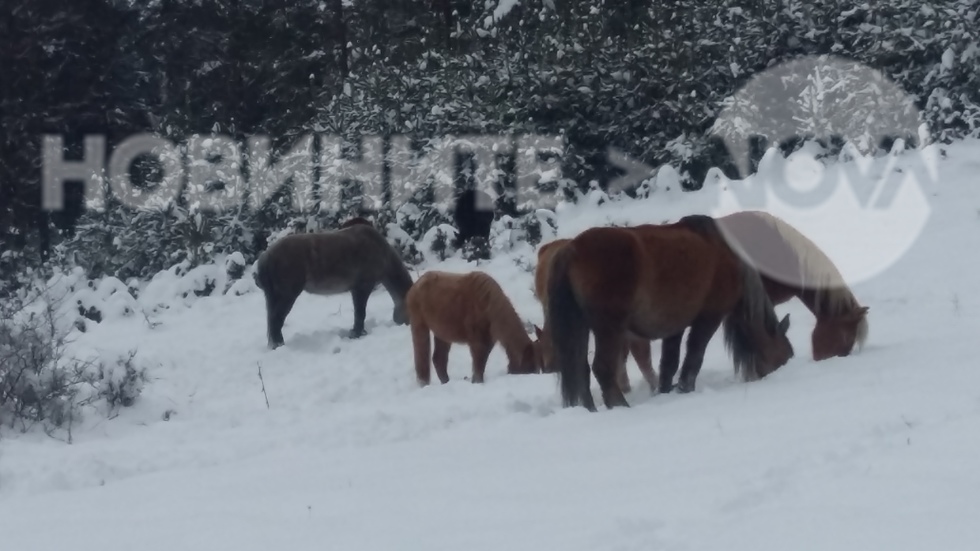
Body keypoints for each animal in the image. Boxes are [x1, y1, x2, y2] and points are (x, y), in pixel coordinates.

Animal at [255, 221, 412, 348]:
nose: (407, 323)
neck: (381, 251)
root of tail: (266, 256)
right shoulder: (363, 287)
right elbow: (360, 312)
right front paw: (357, 333)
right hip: (287, 295)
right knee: (276, 320)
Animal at [408, 270, 544, 386]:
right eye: (529, 366)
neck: (489, 306)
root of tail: (415, 286)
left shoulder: (488, 341)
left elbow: (481, 364)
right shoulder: (477, 341)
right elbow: (478, 364)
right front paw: (478, 382)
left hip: (442, 333)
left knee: (439, 359)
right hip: (419, 325)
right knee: (422, 356)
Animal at [548, 215, 792, 410]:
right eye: (785, 356)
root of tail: (571, 250)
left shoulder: (676, 326)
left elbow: (669, 363)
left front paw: (665, 392)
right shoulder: (709, 317)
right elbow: (694, 355)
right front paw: (685, 388)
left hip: (581, 328)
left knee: (580, 370)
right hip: (609, 329)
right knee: (602, 368)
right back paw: (620, 406)